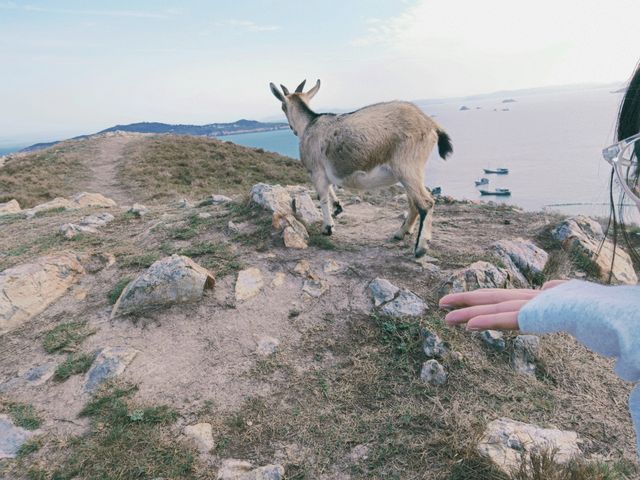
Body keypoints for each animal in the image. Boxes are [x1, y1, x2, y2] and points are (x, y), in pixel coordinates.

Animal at [268, 79, 452, 258]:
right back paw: (400, 233)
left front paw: (327, 228)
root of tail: (430, 123)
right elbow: (330, 189)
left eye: (283, 106)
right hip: (410, 172)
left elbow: (322, 197)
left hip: (407, 167)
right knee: (414, 202)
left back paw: (420, 248)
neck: (309, 125)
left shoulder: (316, 171)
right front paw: (337, 208)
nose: (292, 129)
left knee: (425, 203)